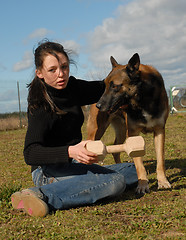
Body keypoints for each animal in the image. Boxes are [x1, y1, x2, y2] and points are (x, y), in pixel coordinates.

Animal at [87, 53, 171, 194]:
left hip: (121, 130)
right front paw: (142, 184)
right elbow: (139, 165)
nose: (99, 105)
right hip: (97, 131)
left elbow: (161, 160)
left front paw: (163, 181)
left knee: (115, 149)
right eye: (105, 85)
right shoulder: (132, 133)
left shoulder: (159, 130)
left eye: (115, 86)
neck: (142, 99)